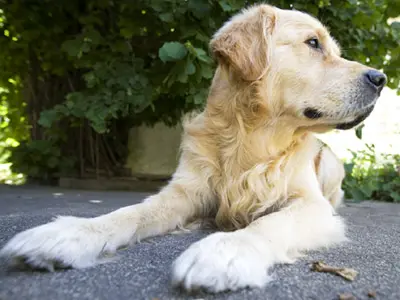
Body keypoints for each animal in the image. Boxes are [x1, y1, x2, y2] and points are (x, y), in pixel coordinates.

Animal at [0, 2, 388, 292]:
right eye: (312, 43)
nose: (380, 78)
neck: (252, 138)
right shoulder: (186, 192)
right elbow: (127, 213)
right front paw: (67, 233)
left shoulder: (310, 204)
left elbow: (269, 224)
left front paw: (225, 253)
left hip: (331, 166)